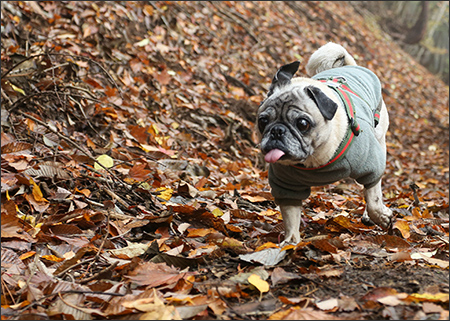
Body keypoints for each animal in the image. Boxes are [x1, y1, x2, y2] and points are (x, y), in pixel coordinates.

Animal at [258, 42, 392, 242]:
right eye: (263, 121)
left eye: (303, 124)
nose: (277, 131)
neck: (314, 159)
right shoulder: (286, 184)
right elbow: (291, 215)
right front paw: (291, 242)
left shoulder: (371, 166)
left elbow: (373, 198)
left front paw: (380, 216)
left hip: (380, 139)